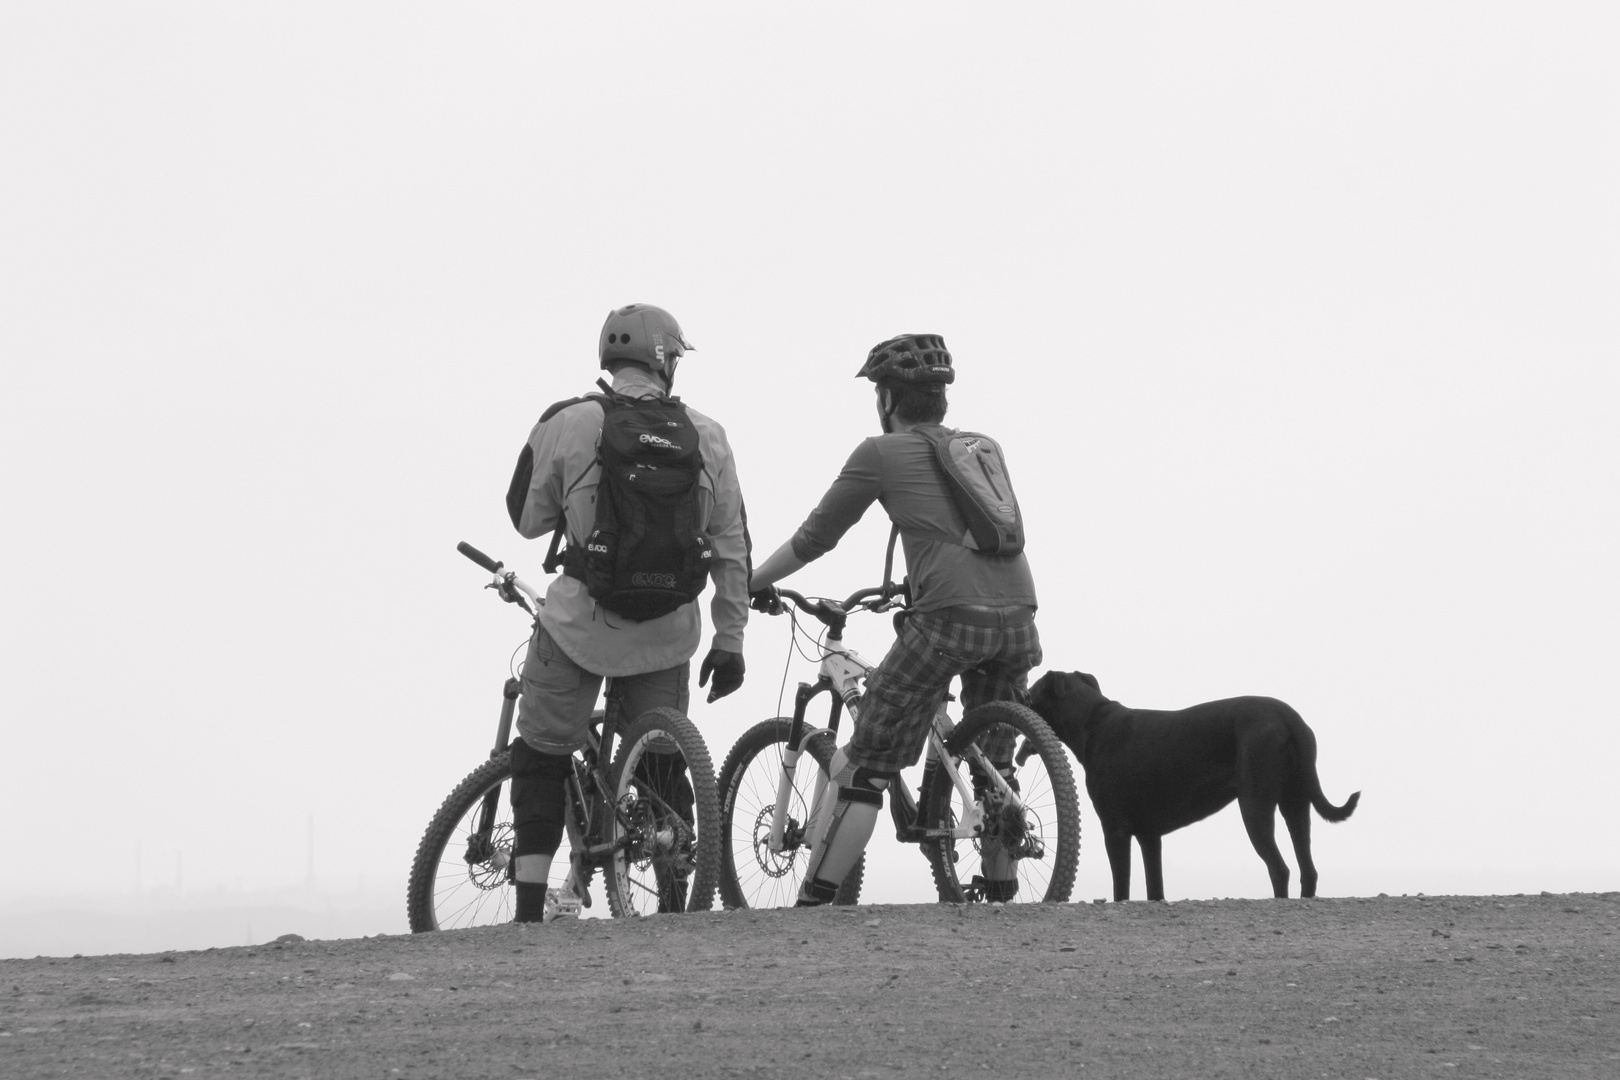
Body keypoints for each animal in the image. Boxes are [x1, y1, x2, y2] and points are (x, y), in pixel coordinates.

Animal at [1030, 670, 1360, 900]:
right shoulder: (1150, 836)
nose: (1019, 694)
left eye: (1031, 691)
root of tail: (1287, 715)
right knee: (1308, 869)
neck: (1092, 721)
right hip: (1296, 803)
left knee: (1280, 868)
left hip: (1255, 806)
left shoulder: (1115, 831)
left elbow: (1121, 887)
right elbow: (1155, 887)